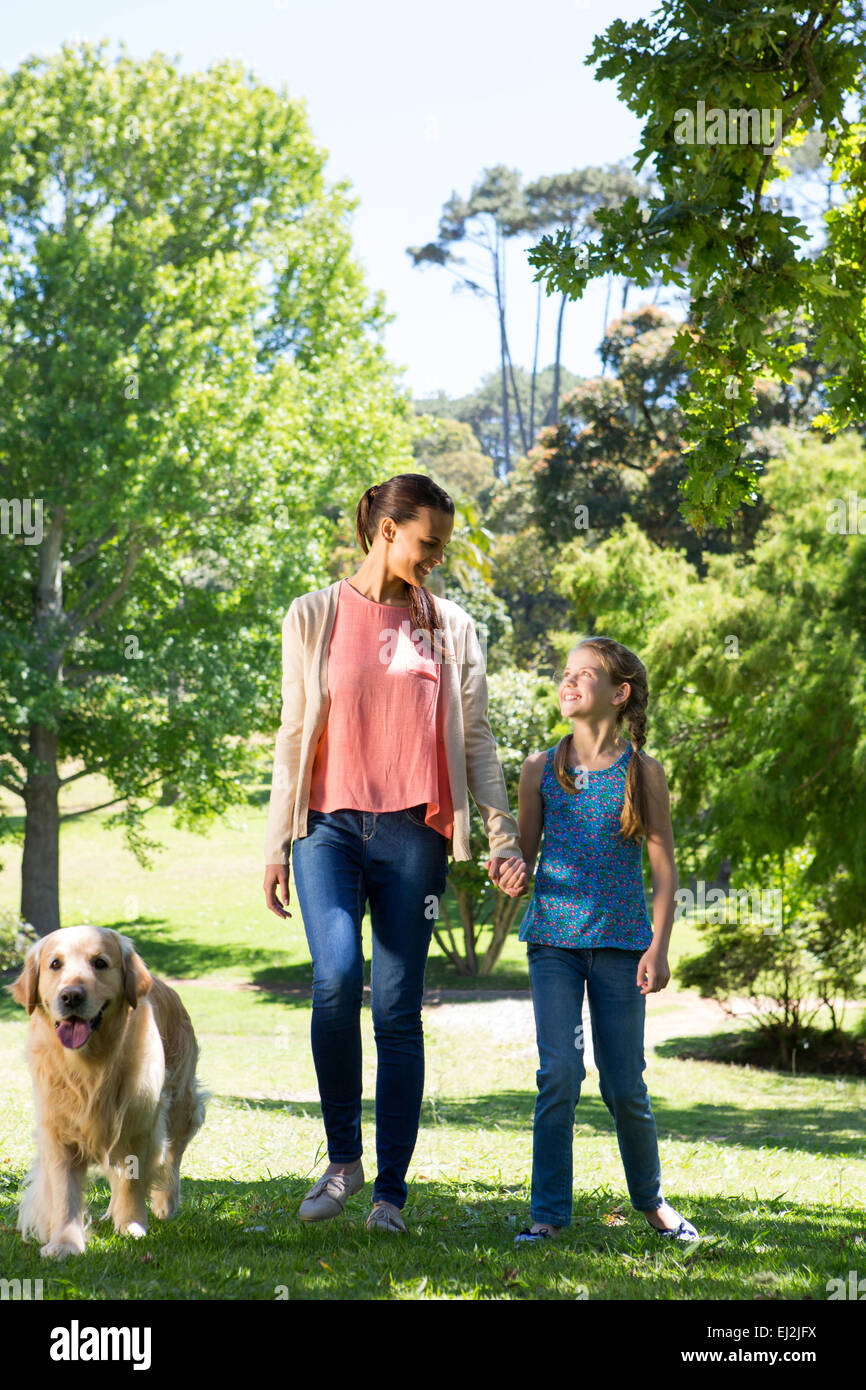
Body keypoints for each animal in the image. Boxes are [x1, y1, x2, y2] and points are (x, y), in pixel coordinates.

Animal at [11, 922, 207, 1262]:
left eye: (100, 963)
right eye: (54, 964)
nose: (71, 996)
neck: (90, 1067)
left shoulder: (141, 1127)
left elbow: (135, 1180)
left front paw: (132, 1226)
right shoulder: (59, 1133)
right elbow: (65, 1192)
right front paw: (65, 1242)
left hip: (181, 1104)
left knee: (173, 1155)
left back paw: (165, 1204)